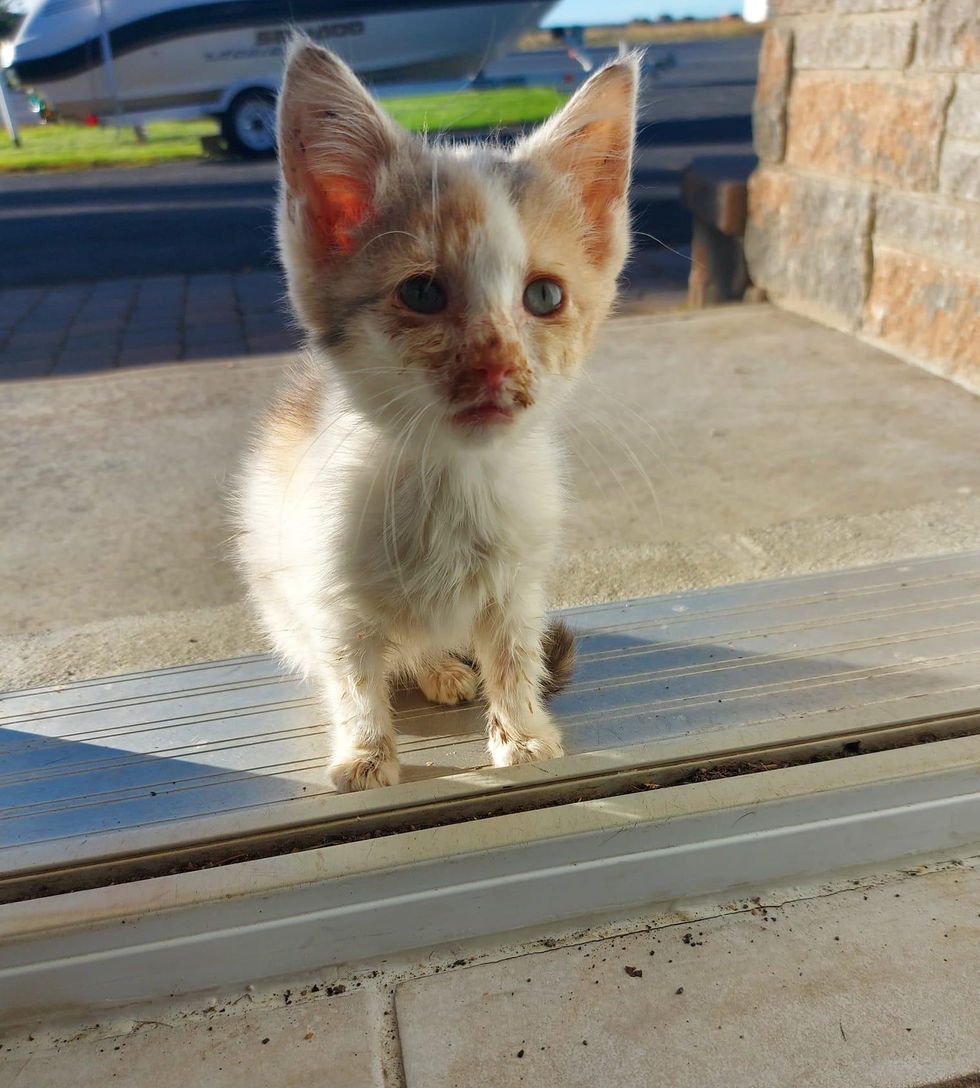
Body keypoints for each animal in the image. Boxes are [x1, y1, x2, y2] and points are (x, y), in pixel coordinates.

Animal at [233, 40, 639, 792]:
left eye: (544, 296)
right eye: (421, 293)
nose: (496, 363)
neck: (455, 475)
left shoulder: (518, 582)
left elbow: (513, 655)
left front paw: (523, 735)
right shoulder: (328, 591)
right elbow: (353, 675)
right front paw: (366, 753)